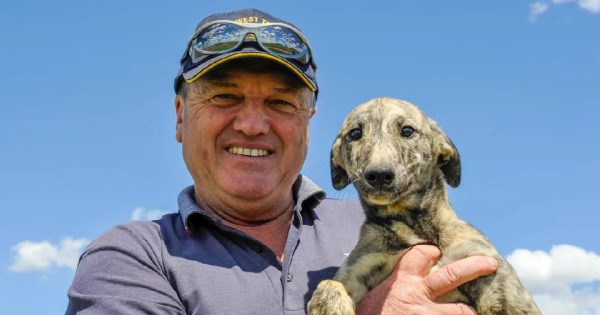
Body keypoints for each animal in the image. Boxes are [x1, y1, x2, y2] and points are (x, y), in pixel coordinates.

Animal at [308, 97, 540, 314]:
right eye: (355, 133)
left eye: (407, 130)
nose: (379, 175)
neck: (413, 227)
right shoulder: (360, 266)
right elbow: (329, 284)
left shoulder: (489, 272)